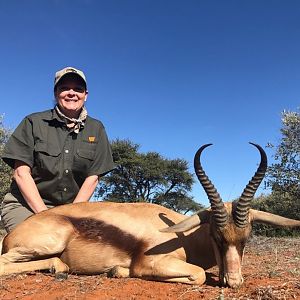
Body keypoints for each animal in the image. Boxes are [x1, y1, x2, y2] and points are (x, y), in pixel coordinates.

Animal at [0, 143, 300, 288]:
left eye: (246, 238)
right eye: (217, 237)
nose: (235, 282)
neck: (184, 237)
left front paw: (116, 271)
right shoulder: (151, 263)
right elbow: (199, 275)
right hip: (48, 243)